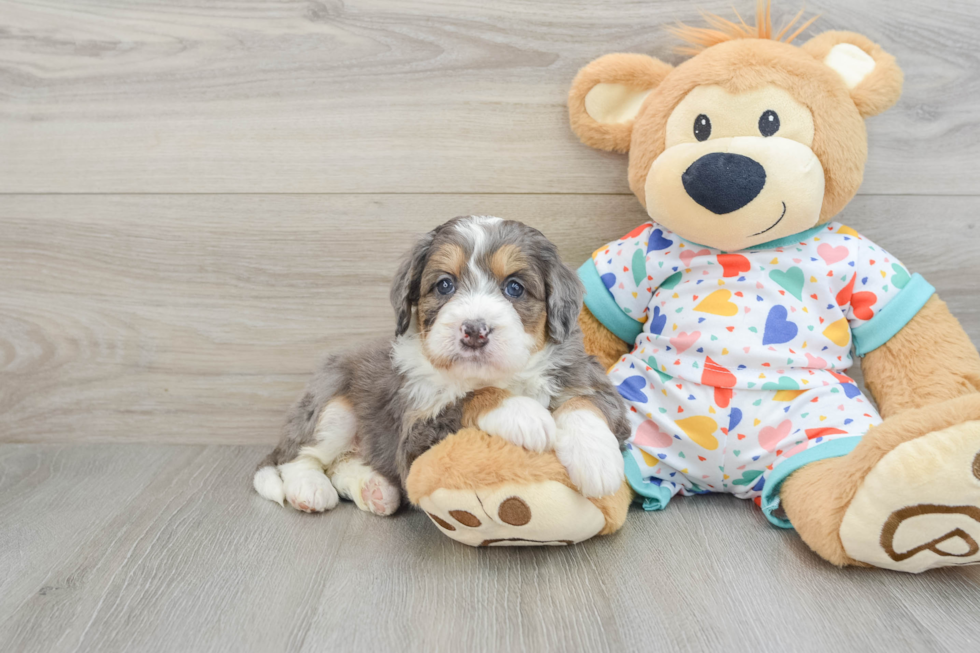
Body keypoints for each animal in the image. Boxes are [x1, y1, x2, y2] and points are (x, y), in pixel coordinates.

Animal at [253, 215, 628, 516]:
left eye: (514, 287)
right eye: (445, 284)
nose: (474, 330)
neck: (502, 375)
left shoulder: (586, 373)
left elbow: (585, 402)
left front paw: (597, 460)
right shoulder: (415, 435)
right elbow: (467, 398)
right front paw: (525, 414)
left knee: (342, 462)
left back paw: (376, 491)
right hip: (331, 405)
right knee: (296, 456)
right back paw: (309, 489)